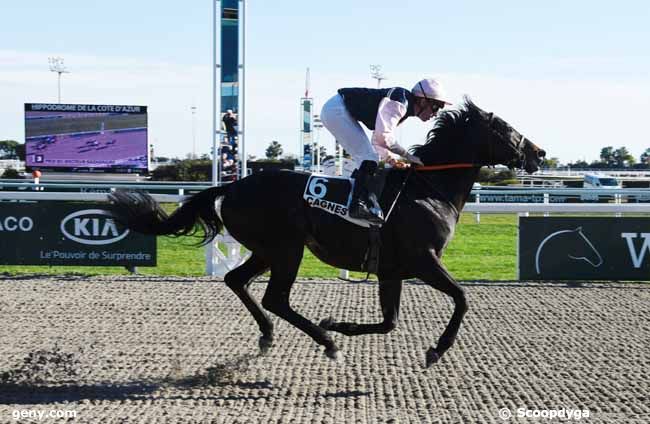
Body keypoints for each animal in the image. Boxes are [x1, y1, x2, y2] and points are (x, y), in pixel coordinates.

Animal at [110, 97, 540, 366]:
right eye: (505, 127)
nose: (539, 152)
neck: (428, 190)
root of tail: (231, 187)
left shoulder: (391, 270)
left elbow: (390, 321)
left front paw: (339, 324)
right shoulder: (422, 260)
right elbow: (462, 298)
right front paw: (436, 350)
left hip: (267, 250)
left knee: (238, 281)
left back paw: (271, 335)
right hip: (287, 250)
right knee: (275, 298)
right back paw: (326, 342)